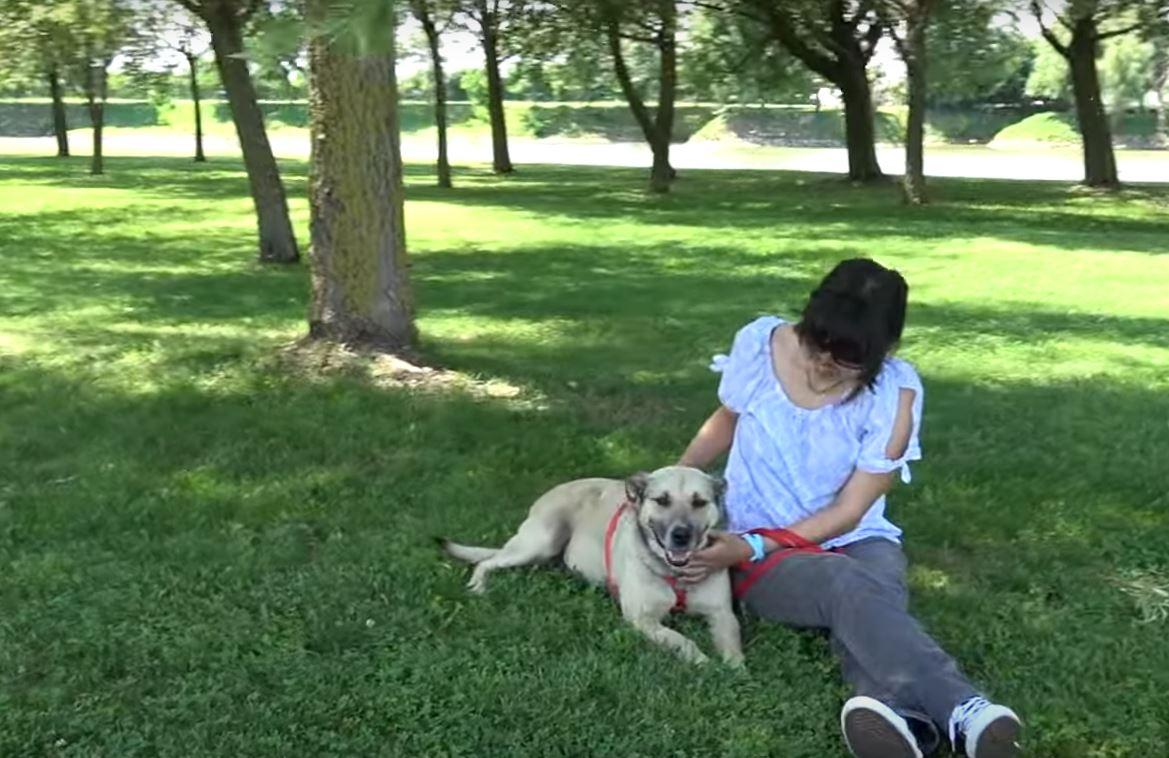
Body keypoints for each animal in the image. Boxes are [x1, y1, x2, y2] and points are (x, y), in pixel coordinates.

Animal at [441, 465, 743, 664]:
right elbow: (683, 641)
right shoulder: (642, 619)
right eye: (662, 500)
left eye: (699, 502)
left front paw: (735, 671)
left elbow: (733, 645)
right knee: (487, 562)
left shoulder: (722, 614)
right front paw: (704, 662)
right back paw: (478, 586)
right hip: (540, 542)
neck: (675, 573)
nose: (681, 535)